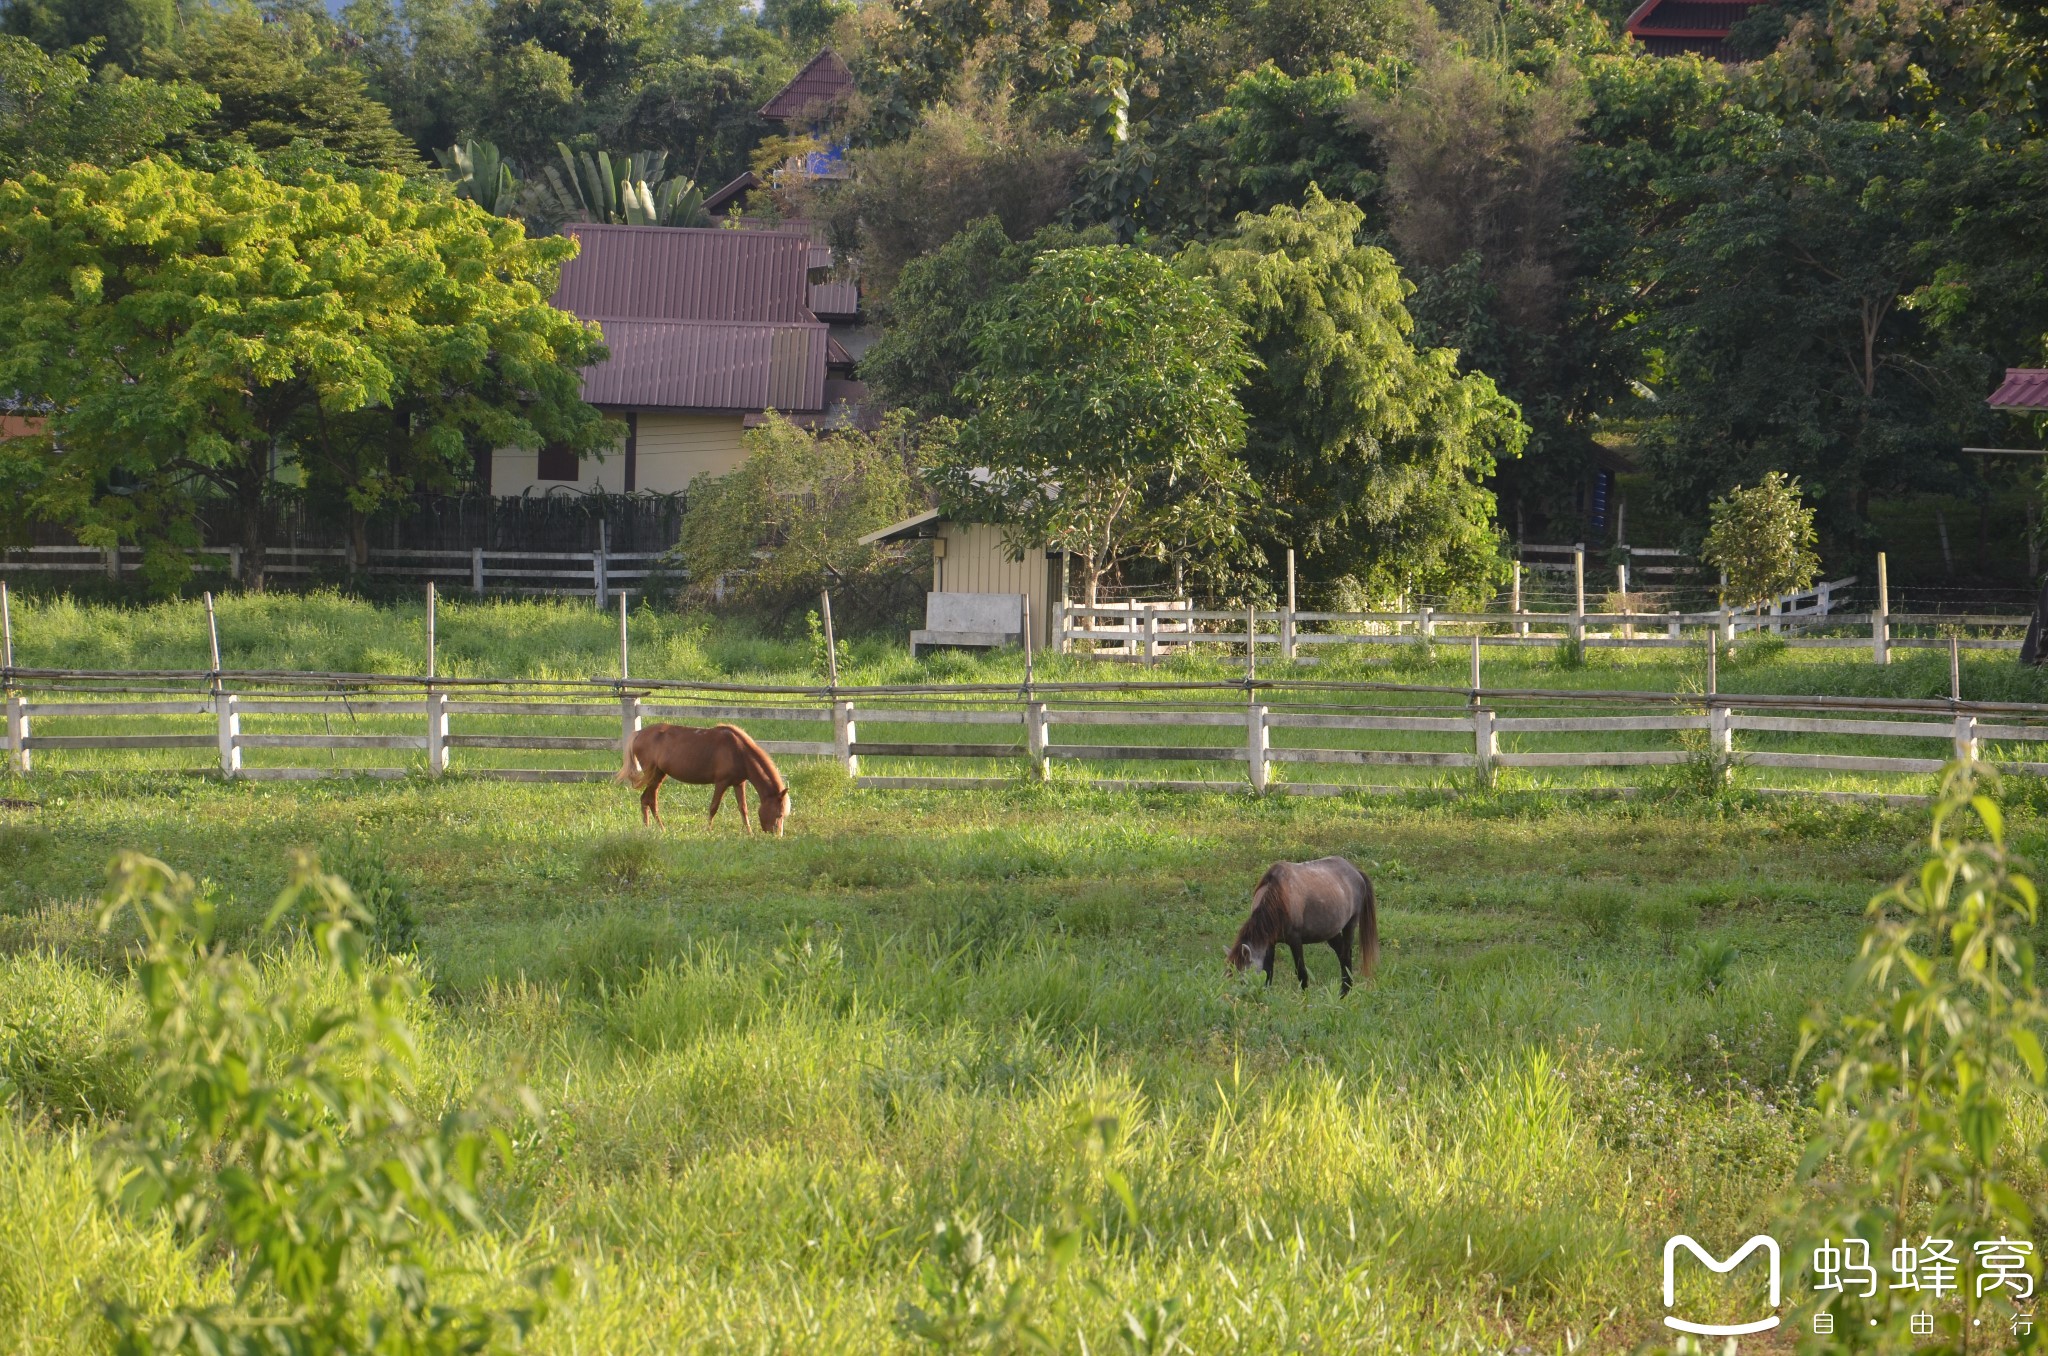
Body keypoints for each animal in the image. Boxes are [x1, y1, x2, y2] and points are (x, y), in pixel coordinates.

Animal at [614, 729, 790, 835]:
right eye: (779, 814)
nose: (777, 836)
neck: (739, 751)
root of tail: (639, 733)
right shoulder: (721, 782)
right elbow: (713, 807)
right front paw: (708, 830)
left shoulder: (739, 783)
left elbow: (743, 808)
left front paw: (749, 832)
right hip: (653, 775)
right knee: (648, 799)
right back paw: (654, 828)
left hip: (659, 775)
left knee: (648, 799)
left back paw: (654, 828)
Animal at [1220, 860, 1384, 999]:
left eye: (1242, 979)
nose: (1237, 1000)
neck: (1278, 898)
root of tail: (1356, 871)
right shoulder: (1270, 943)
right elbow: (1268, 971)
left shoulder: (1295, 941)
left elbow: (1301, 973)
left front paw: (1305, 1001)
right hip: (1331, 932)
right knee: (1342, 955)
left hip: (1350, 924)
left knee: (1346, 955)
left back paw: (1344, 992)